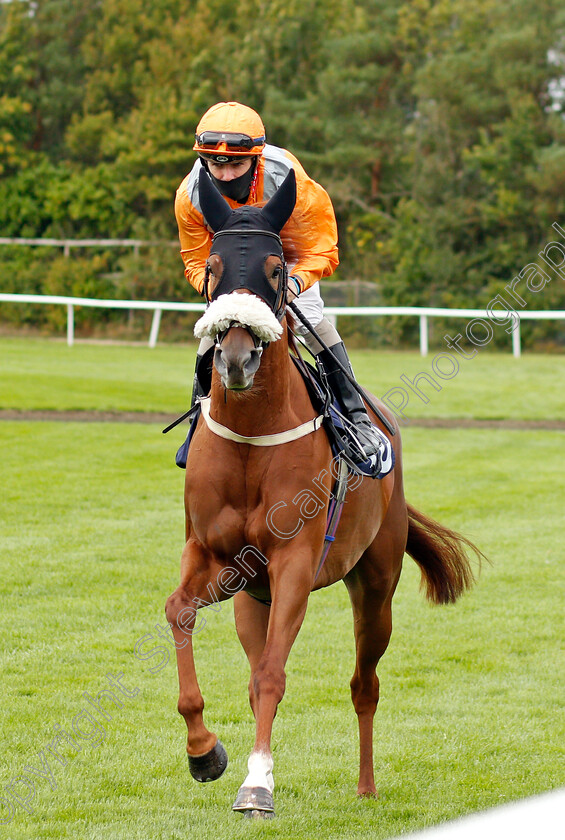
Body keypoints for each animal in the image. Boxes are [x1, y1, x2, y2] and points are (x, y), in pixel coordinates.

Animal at [164, 167, 480, 816]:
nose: (236, 358)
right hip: (250, 598)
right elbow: (180, 614)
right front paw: (205, 752)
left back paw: (365, 784)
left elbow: (273, 675)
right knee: (258, 662)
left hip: (376, 584)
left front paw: (257, 784)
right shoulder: (216, 559)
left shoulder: (294, 561)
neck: (252, 438)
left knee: (364, 683)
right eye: (212, 267)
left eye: (274, 270)